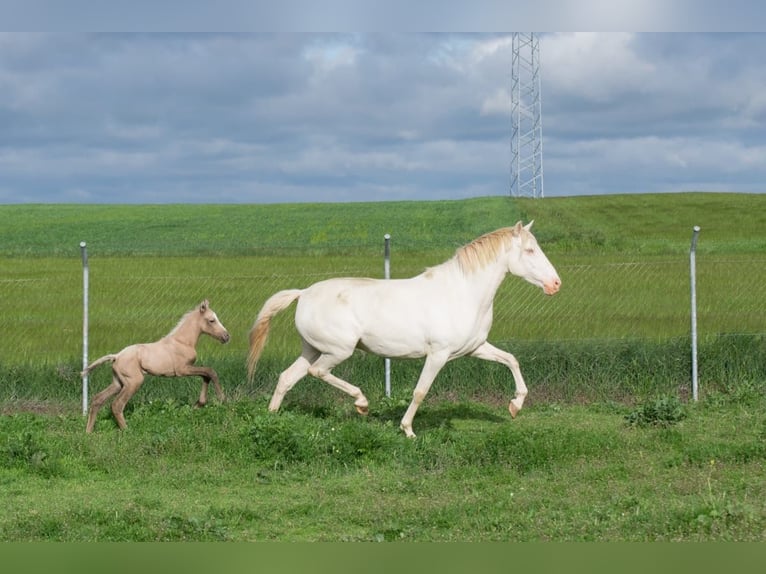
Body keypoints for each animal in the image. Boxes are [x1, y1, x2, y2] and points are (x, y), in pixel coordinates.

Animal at [83, 302, 231, 432]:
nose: (226, 336)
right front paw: (222, 399)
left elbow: (206, 375)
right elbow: (210, 371)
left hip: (118, 383)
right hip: (133, 382)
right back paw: (126, 430)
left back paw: (89, 432)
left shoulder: (188, 368)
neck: (182, 341)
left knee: (97, 399)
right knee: (117, 405)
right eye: (212, 320)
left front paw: (199, 404)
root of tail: (117, 356)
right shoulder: (182, 369)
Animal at [249, 223, 560, 438]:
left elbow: (511, 360)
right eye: (530, 250)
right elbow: (421, 391)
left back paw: (272, 417)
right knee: (318, 372)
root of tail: (304, 294)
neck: (462, 293)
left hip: (313, 349)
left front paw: (515, 406)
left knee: (287, 378)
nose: (556, 284)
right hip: (338, 351)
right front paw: (408, 429)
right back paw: (362, 403)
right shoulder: (438, 354)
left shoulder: (475, 348)